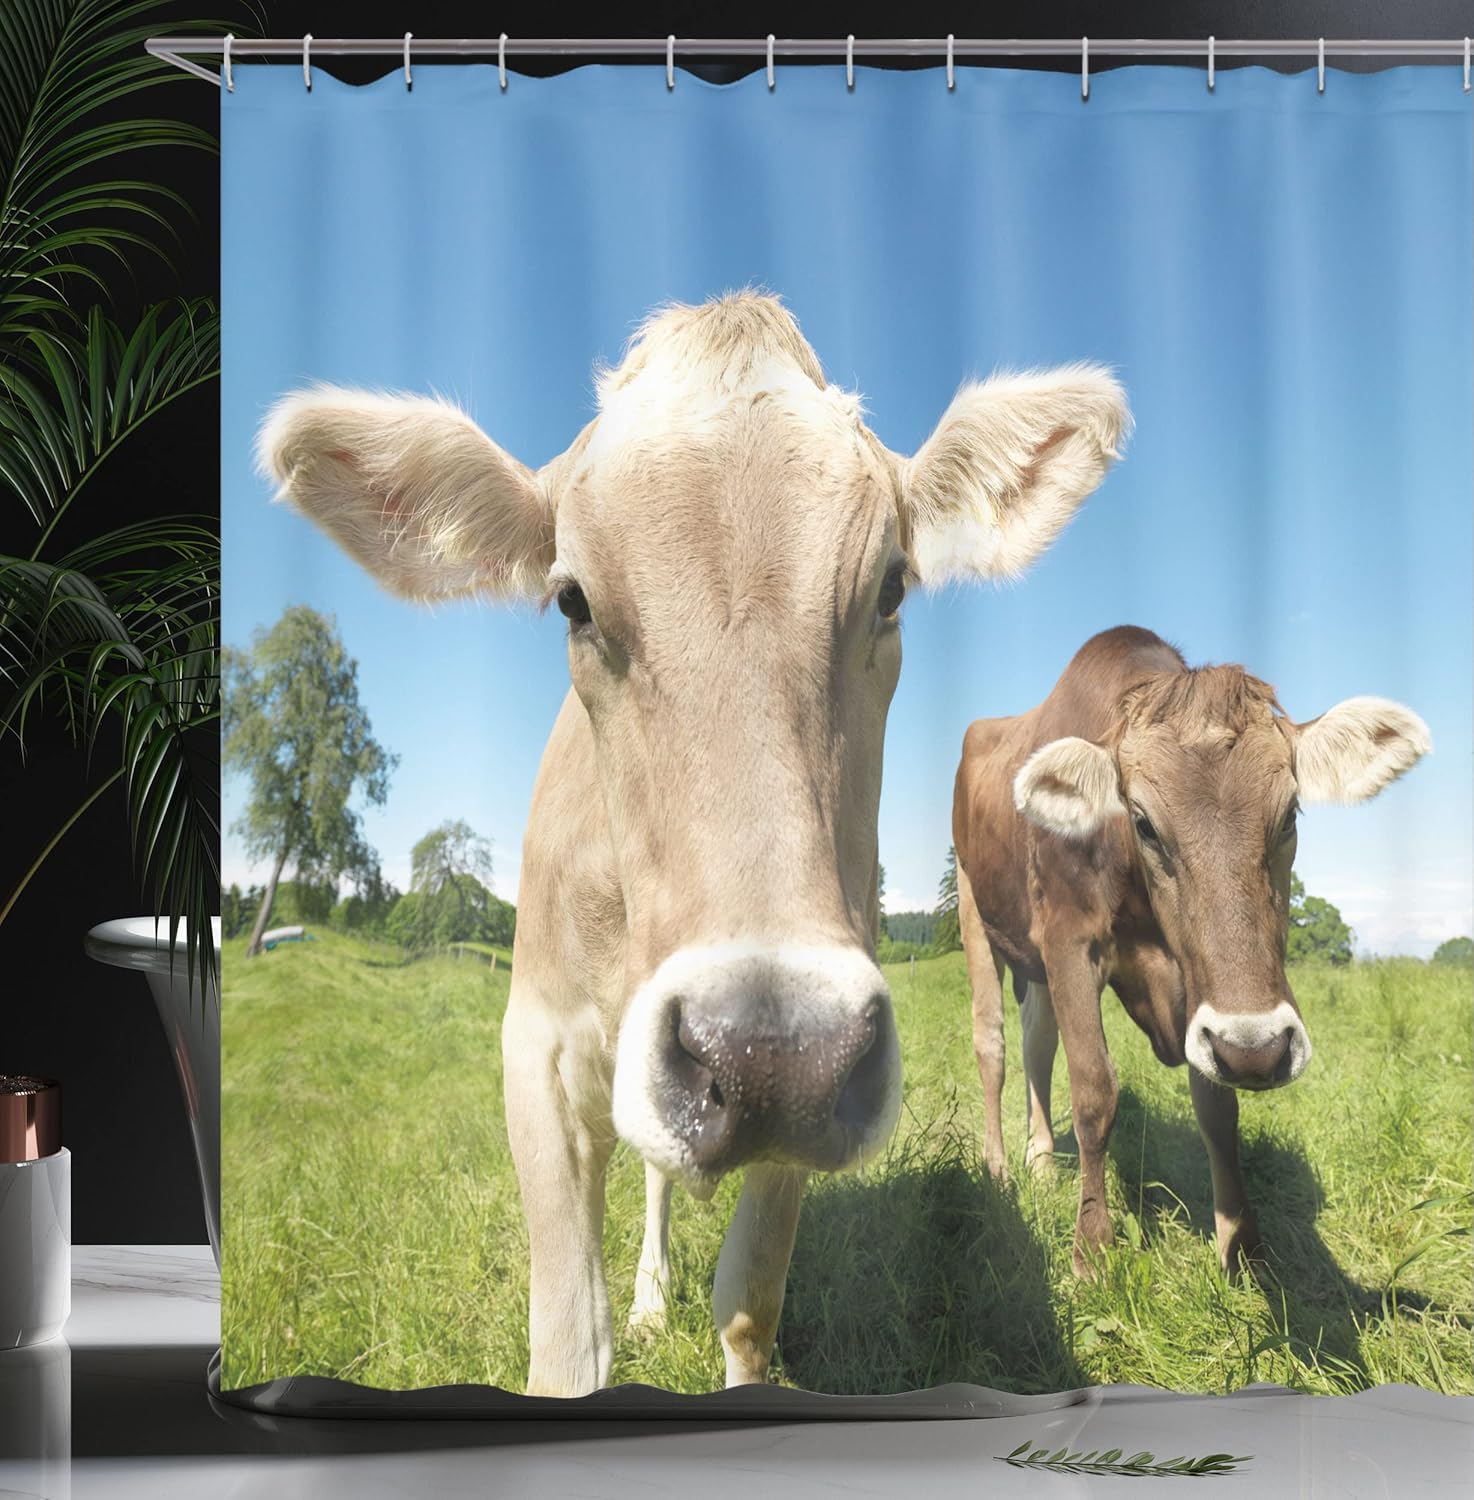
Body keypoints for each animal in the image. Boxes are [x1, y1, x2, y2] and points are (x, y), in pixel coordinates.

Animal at [257, 292, 1130, 1396]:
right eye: (572, 599)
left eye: (891, 587)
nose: (770, 1053)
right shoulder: (533, 1048)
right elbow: (566, 1340)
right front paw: (620, 1314)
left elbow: (748, 1305)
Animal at [952, 625, 1431, 1278]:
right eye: (1144, 823)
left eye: (1289, 814)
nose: (1259, 1051)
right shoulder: (1068, 942)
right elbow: (1095, 1089)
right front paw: (1092, 1249)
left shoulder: (1197, 995)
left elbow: (1217, 1108)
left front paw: (1240, 1247)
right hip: (975, 910)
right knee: (993, 1044)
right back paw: (999, 1168)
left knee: (1036, 1045)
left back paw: (1044, 1162)